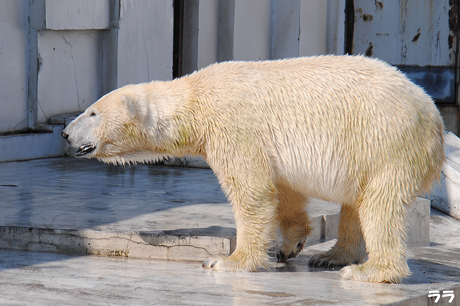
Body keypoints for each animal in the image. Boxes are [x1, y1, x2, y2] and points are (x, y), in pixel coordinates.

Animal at [63, 54, 444, 282]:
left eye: (92, 112)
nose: (66, 133)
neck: (195, 101)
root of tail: (433, 116)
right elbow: (285, 190)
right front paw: (290, 245)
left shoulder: (234, 126)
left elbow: (252, 191)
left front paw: (228, 261)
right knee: (356, 202)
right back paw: (331, 257)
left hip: (384, 142)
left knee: (380, 205)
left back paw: (369, 270)